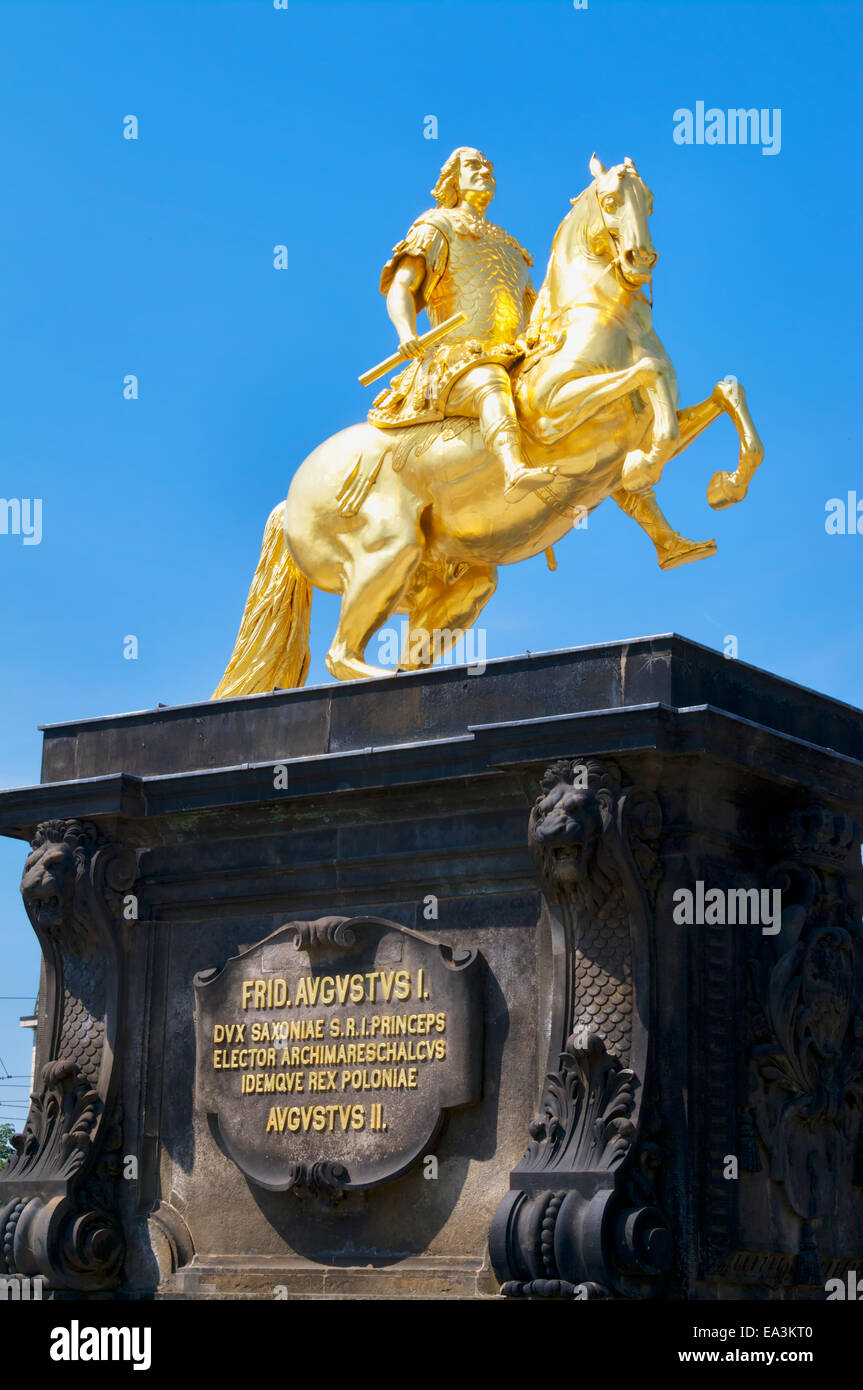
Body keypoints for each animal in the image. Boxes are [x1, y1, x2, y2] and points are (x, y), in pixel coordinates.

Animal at [214, 154, 761, 695]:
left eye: (649, 201)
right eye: (610, 201)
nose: (639, 259)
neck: (608, 320)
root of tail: (288, 502)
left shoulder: (635, 425)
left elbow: (723, 395)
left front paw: (722, 489)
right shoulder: (552, 414)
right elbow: (649, 381)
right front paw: (644, 466)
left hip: (457, 581)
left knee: (411, 647)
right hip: (386, 553)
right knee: (342, 656)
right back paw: (391, 679)